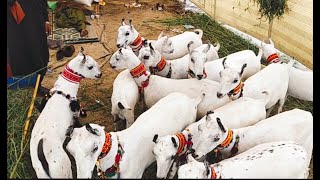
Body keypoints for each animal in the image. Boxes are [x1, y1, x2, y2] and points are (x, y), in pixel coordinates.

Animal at [29, 50, 101, 178]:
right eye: (90, 67)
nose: (100, 74)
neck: (64, 90)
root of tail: (43, 158)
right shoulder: (75, 114)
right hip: (64, 170)